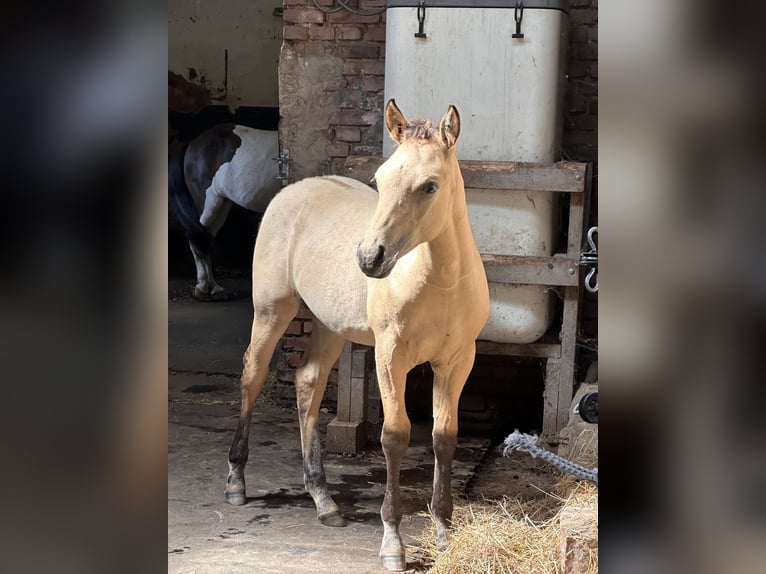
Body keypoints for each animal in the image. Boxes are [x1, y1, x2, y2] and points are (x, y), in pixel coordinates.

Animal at [169, 123, 280, 300]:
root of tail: (192, 143)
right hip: (209, 203)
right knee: (197, 240)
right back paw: (202, 288)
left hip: (221, 206)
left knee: (205, 239)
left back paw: (214, 288)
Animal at [225, 100, 490, 572]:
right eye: (380, 180)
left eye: (430, 186)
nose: (369, 258)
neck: (439, 282)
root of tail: (295, 188)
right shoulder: (390, 356)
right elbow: (395, 436)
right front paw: (392, 542)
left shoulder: (457, 360)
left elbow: (444, 437)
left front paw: (444, 528)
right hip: (272, 311)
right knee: (252, 376)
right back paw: (237, 480)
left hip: (329, 326)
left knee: (308, 382)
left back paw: (323, 499)